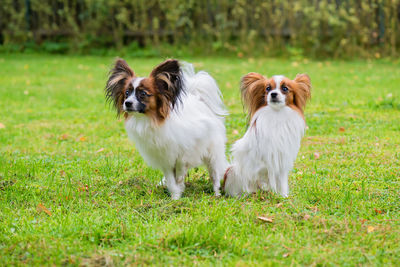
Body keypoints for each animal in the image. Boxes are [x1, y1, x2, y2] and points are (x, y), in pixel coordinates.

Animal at [104, 59, 227, 201]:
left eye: (143, 94)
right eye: (127, 93)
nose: (127, 103)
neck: (151, 120)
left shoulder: (188, 147)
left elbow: (181, 165)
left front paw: (179, 180)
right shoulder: (164, 158)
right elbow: (171, 181)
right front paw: (175, 198)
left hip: (212, 153)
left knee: (214, 174)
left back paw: (216, 193)